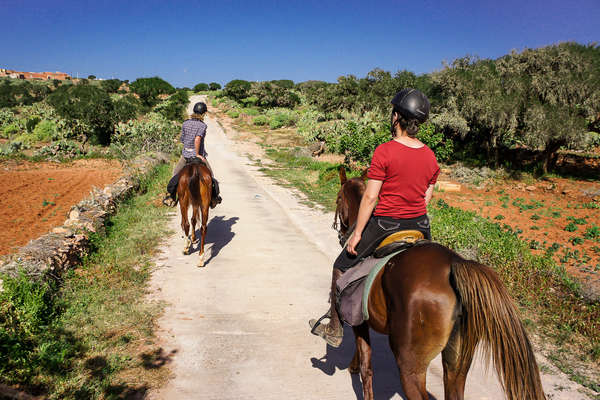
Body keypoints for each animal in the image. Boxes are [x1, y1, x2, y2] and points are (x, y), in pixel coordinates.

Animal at [332, 166, 544, 400]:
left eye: (338, 198)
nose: (344, 235)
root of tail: (454, 264)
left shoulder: (357, 318)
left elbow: (366, 367)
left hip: (410, 364)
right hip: (458, 362)